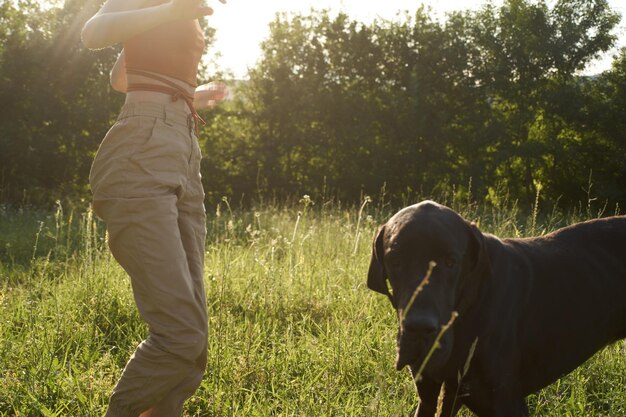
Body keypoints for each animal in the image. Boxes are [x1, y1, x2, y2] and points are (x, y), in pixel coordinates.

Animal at [366, 200, 624, 414]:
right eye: (395, 261)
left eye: (451, 262)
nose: (419, 328)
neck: (468, 313)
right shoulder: (431, 395)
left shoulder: (506, 402)